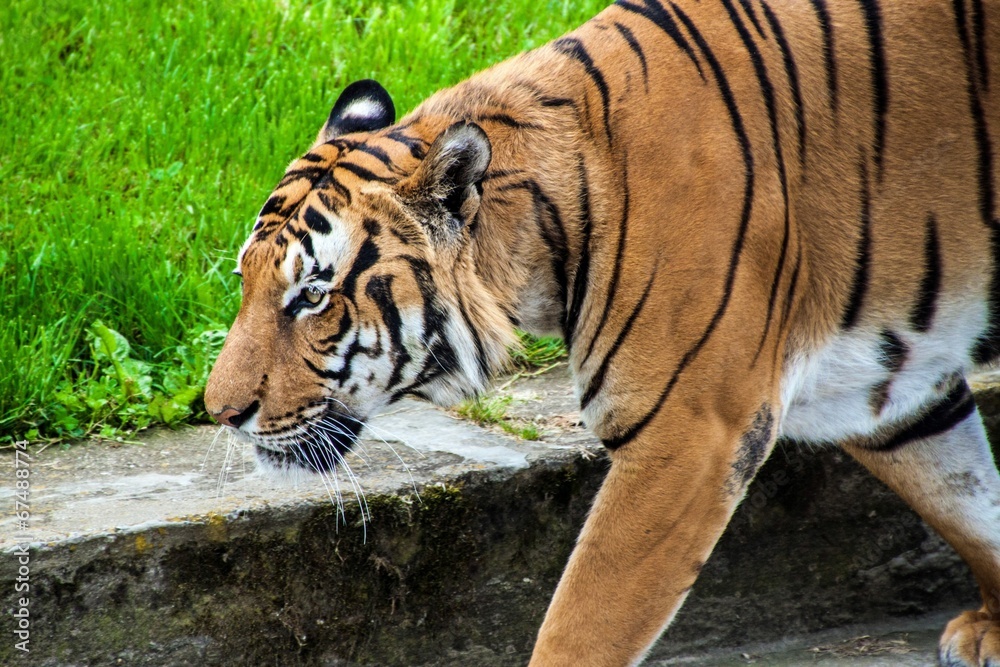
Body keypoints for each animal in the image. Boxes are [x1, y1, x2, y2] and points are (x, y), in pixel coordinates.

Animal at [204, 0, 1000, 664]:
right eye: (245, 280)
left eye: (312, 296)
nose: (218, 412)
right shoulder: (885, 383)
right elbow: (971, 501)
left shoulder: (689, 434)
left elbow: (582, 624)